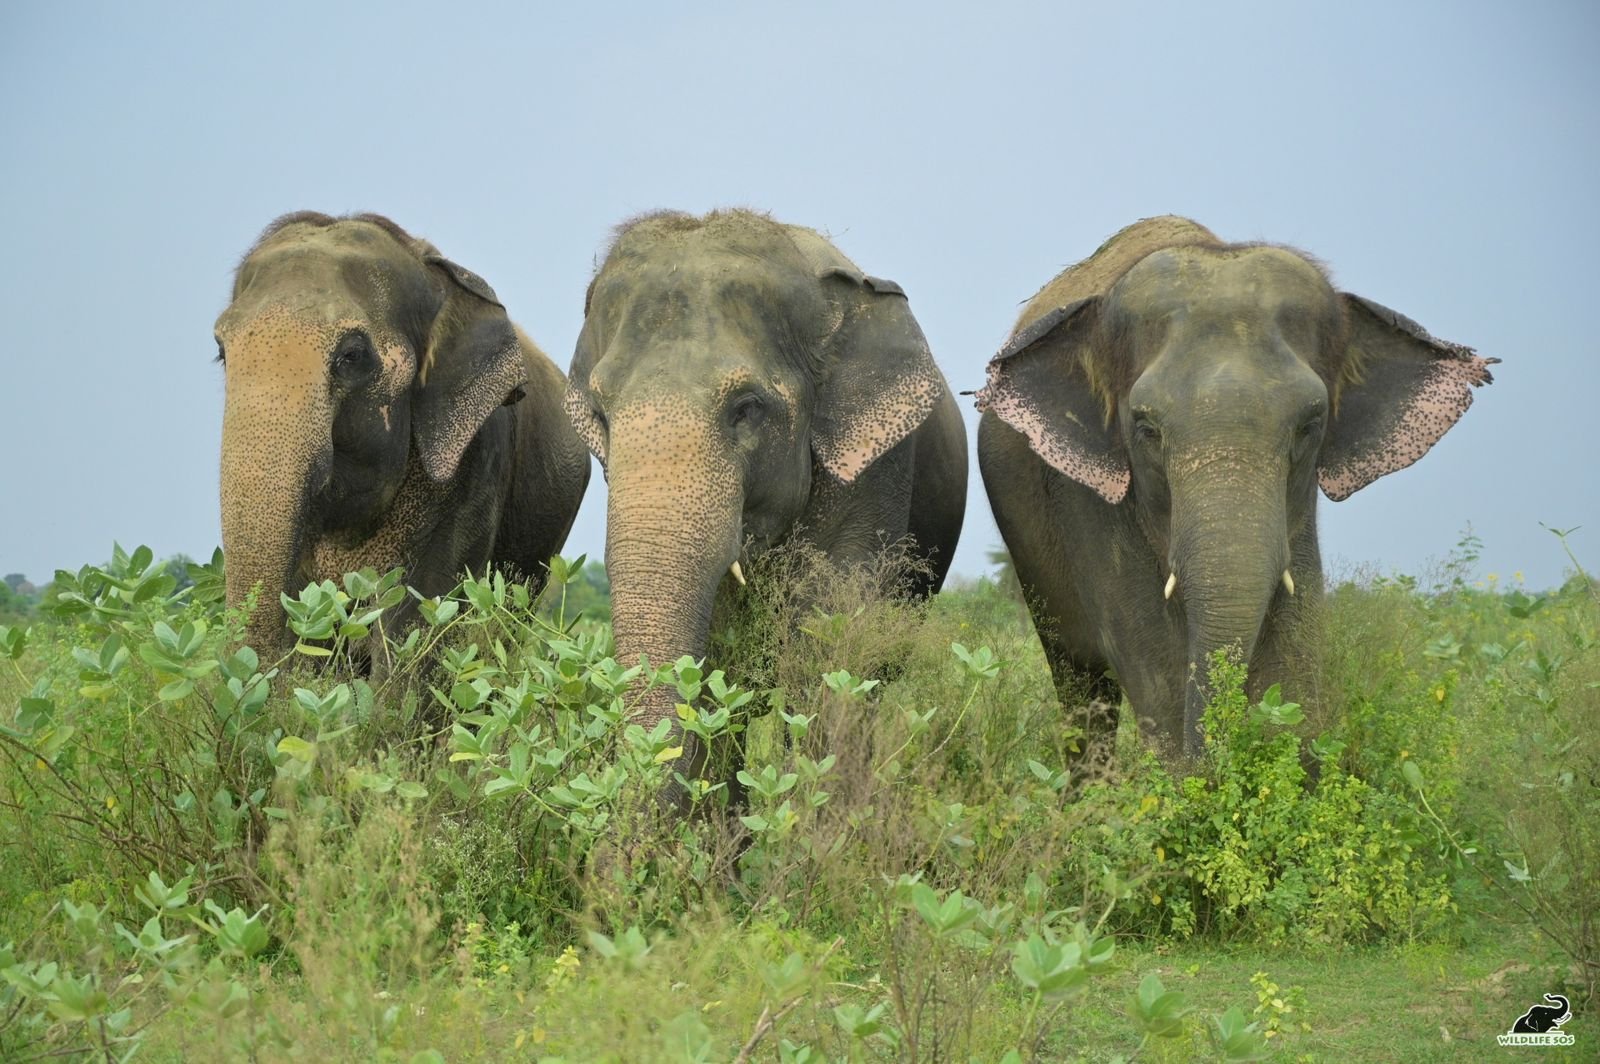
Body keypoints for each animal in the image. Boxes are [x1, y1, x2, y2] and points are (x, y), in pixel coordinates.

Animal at [976, 216, 1495, 761]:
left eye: (1310, 425)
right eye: (1146, 429)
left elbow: (1295, 643)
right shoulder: (1087, 498)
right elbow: (1151, 656)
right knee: (1081, 682)